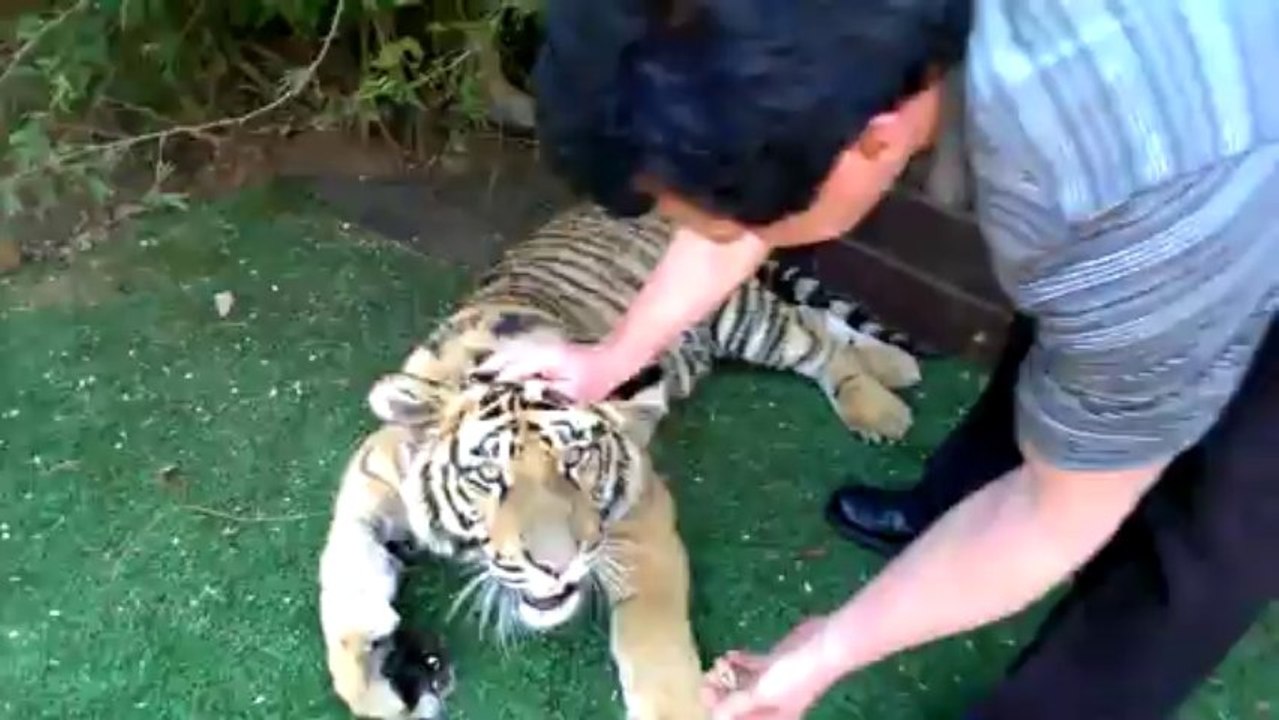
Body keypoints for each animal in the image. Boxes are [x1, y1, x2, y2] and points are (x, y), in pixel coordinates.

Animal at [316, 203, 924, 720]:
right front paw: (379, 677)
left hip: (737, 315)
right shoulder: (371, 476)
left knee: (816, 339)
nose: (556, 566)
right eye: (489, 475)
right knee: (819, 322)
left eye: (576, 459)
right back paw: (897, 365)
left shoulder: (640, 513)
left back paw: (882, 401)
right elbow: (341, 572)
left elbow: (650, 639)